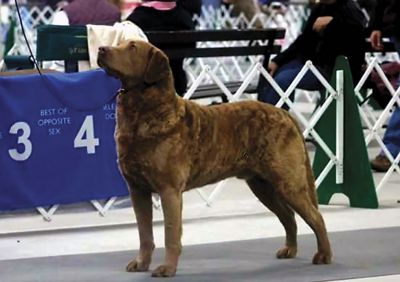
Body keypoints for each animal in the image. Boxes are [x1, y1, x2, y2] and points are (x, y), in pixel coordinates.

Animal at [97, 40, 332, 276]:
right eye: (119, 44)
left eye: (132, 48)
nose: (101, 49)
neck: (143, 114)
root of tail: (287, 115)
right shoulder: (137, 190)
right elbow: (144, 233)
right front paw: (141, 264)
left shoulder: (169, 189)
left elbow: (171, 233)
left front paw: (167, 268)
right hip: (262, 185)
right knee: (289, 217)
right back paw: (289, 250)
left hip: (288, 182)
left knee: (316, 217)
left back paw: (324, 255)